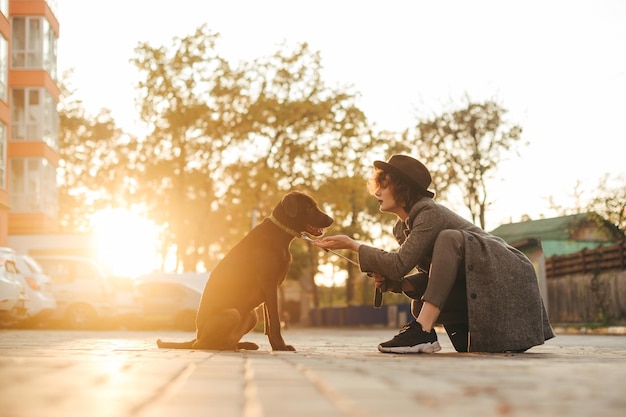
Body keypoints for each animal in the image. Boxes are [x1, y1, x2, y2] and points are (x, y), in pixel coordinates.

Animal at [156, 190, 332, 350]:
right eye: (309, 207)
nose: (331, 220)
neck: (280, 234)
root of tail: (196, 336)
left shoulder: (270, 290)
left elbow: (269, 324)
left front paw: (276, 346)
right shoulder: (269, 285)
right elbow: (275, 322)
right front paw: (281, 346)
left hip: (251, 315)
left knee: (226, 340)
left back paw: (242, 345)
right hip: (232, 313)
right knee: (203, 344)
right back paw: (228, 347)